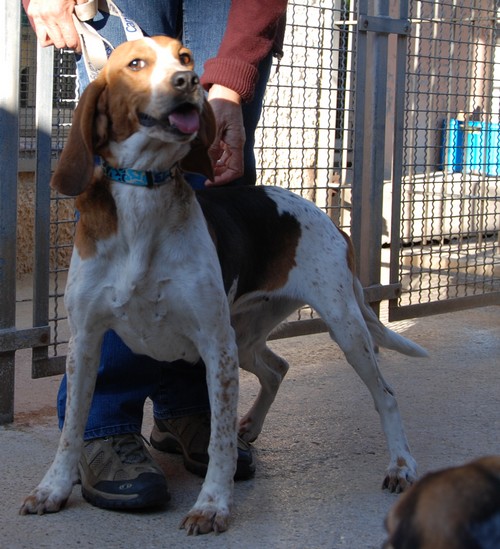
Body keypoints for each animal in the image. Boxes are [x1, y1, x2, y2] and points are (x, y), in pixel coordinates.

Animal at [19, 35, 426, 532]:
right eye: (135, 63)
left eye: (185, 56)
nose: (190, 81)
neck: (143, 193)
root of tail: (330, 220)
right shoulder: (85, 343)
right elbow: (72, 429)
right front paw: (53, 488)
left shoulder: (215, 346)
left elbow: (218, 442)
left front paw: (213, 504)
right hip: (246, 336)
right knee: (277, 367)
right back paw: (251, 424)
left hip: (339, 329)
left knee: (385, 396)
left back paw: (401, 465)